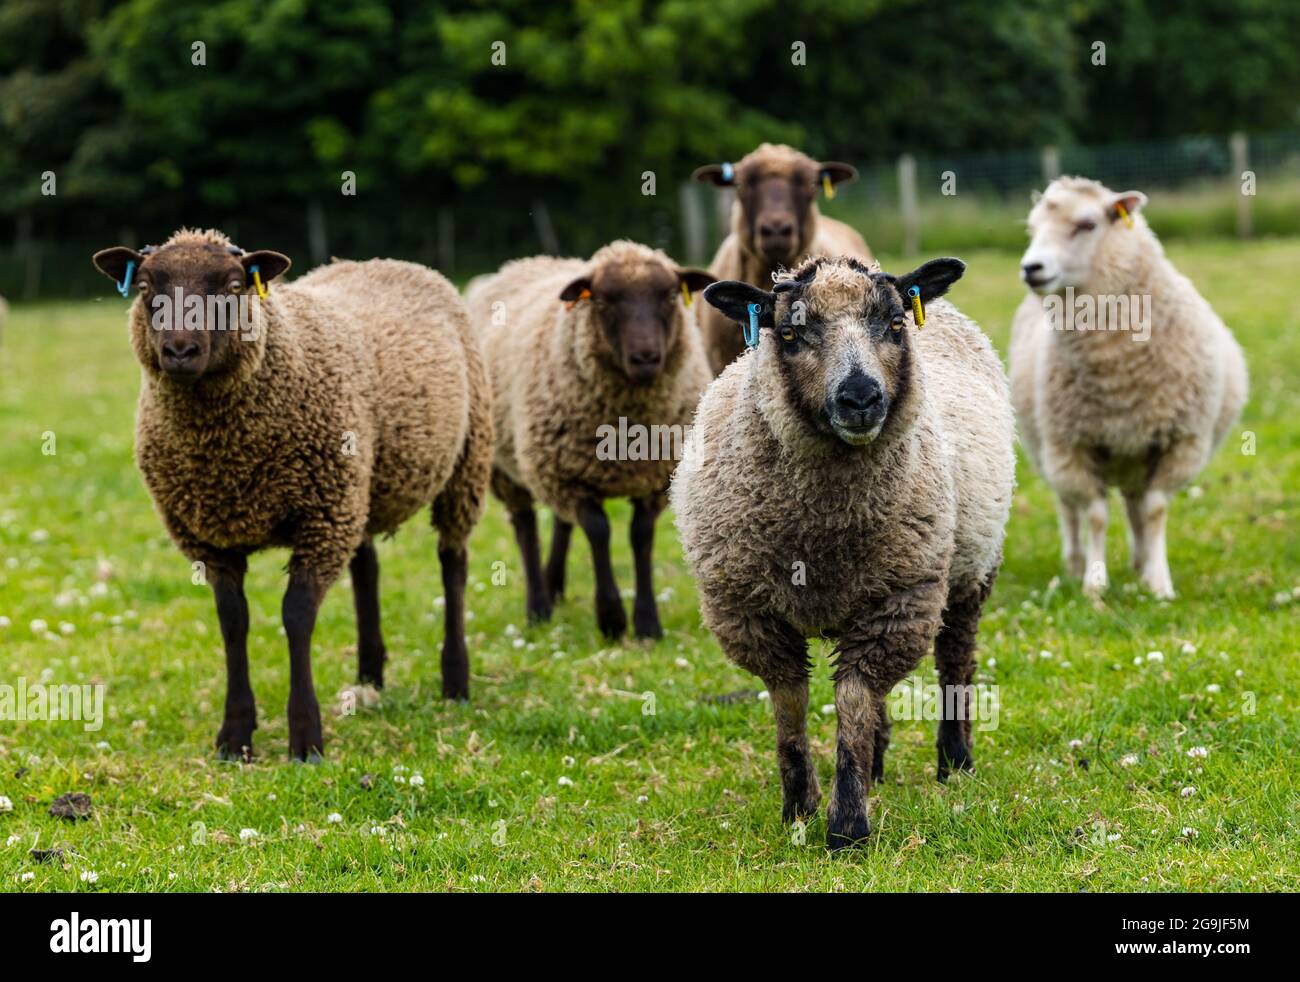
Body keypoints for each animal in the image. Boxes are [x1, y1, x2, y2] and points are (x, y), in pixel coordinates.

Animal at [89, 228, 488, 759]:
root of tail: (386, 261)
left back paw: (455, 679)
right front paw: (235, 735)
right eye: (145, 286)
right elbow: (232, 621)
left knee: (453, 565)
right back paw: (370, 674)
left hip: (463, 463)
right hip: (356, 489)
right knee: (366, 568)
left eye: (234, 286)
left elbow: (296, 617)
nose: (179, 350)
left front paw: (305, 737)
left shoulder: (319, 520)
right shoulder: (211, 538)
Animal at [465, 241, 712, 642]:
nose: (646, 358)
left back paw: (554, 585)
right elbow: (598, 532)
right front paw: (611, 618)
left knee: (561, 522)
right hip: (509, 466)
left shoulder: (653, 479)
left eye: (671, 295)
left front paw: (647, 624)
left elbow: (640, 537)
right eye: (602, 301)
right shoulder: (572, 480)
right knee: (526, 528)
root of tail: (526, 262)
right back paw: (538, 607)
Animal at [670, 257, 1013, 848]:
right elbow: (791, 703)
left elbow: (853, 699)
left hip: (971, 570)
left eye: (895, 324)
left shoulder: (900, 599)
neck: (821, 530)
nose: (860, 398)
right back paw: (878, 765)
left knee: (955, 661)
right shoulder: (746, 611)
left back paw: (955, 762)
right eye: (788, 334)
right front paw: (799, 807)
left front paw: (847, 825)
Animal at [1003, 176, 1248, 598]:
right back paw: (1075, 563)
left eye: (1087, 224)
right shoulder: (1073, 445)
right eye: (1032, 230)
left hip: (1134, 452)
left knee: (1135, 505)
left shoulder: (1179, 442)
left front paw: (1159, 582)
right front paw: (1094, 584)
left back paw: (1140, 562)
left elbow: (1154, 509)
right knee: (1068, 508)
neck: (1120, 374)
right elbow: (1096, 516)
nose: (1031, 268)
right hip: (1047, 450)